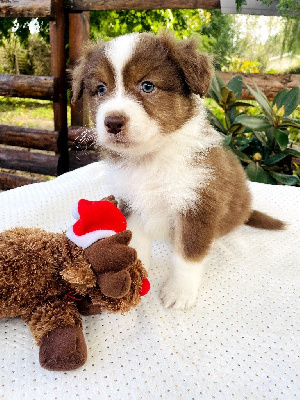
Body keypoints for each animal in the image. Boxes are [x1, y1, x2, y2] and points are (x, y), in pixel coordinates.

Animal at [72, 32, 284, 310]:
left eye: (147, 86)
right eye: (100, 89)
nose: (113, 122)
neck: (151, 159)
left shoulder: (198, 205)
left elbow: (187, 256)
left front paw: (179, 292)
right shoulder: (131, 202)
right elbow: (136, 243)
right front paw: (136, 274)